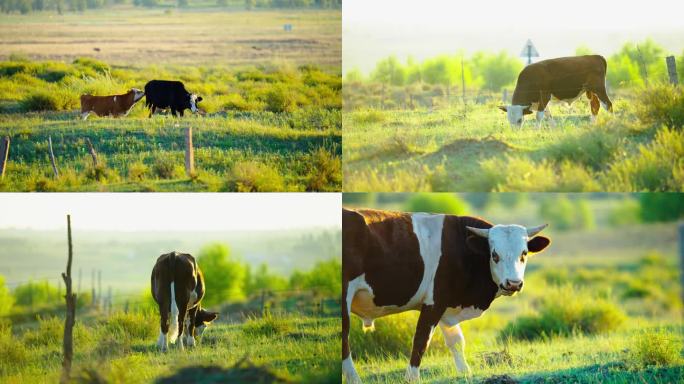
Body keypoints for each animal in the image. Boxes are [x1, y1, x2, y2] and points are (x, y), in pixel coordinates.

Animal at [342, 208, 552, 382]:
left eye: (524, 253)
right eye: (494, 255)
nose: (513, 283)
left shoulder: (446, 304)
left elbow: (456, 341)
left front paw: (465, 373)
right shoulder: (434, 301)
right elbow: (421, 341)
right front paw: (412, 378)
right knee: (344, 340)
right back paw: (354, 379)